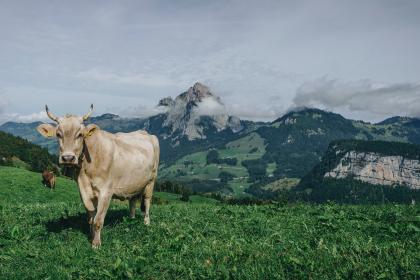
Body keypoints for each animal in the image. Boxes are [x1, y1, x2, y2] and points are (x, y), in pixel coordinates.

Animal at [35, 104, 159, 247]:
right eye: (58, 134)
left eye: (80, 135)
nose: (68, 158)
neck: (86, 171)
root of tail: (145, 133)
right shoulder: (84, 190)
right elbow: (91, 218)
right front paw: (90, 235)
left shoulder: (106, 191)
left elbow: (98, 220)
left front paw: (96, 243)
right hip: (134, 182)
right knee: (132, 200)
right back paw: (131, 219)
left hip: (151, 181)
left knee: (147, 201)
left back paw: (146, 223)